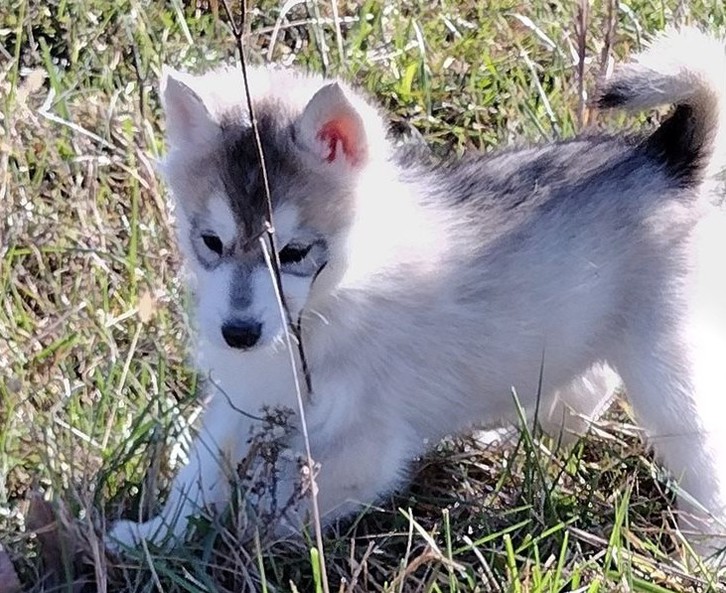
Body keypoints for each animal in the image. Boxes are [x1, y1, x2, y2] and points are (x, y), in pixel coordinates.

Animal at [109, 27, 726, 556]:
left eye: (294, 253)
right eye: (211, 242)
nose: (238, 334)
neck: (335, 298)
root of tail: (668, 158)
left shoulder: (366, 446)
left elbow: (275, 504)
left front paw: (229, 546)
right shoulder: (242, 399)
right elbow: (199, 474)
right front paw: (155, 537)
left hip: (666, 363)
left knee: (702, 460)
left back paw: (700, 554)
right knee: (583, 390)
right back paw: (507, 435)